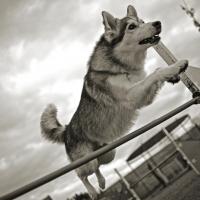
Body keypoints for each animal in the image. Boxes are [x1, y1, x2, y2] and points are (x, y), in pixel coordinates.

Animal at [40, 5, 188, 200]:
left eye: (142, 21)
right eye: (131, 27)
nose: (158, 23)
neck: (122, 67)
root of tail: (67, 130)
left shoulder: (143, 97)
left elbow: (156, 71)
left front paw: (172, 75)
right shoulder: (131, 96)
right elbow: (155, 73)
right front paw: (176, 66)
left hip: (108, 154)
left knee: (97, 169)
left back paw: (102, 182)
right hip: (87, 162)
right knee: (81, 175)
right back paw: (92, 191)